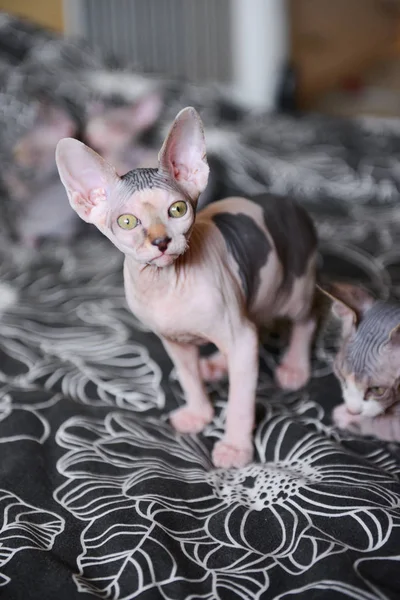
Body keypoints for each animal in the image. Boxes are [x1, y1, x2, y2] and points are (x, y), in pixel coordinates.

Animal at [56, 108, 318, 468]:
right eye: (127, 222)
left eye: (177, 209)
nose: (161, 241)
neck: (165, 285)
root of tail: (292, 204)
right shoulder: (174, 341)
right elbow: (189, 378)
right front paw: (198, 414)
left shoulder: (237, 334)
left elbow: (240, 401)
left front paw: (235, 448)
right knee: (255, 327)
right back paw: (218, 364)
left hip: (294, 289)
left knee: (307, 317)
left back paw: (294, 367)